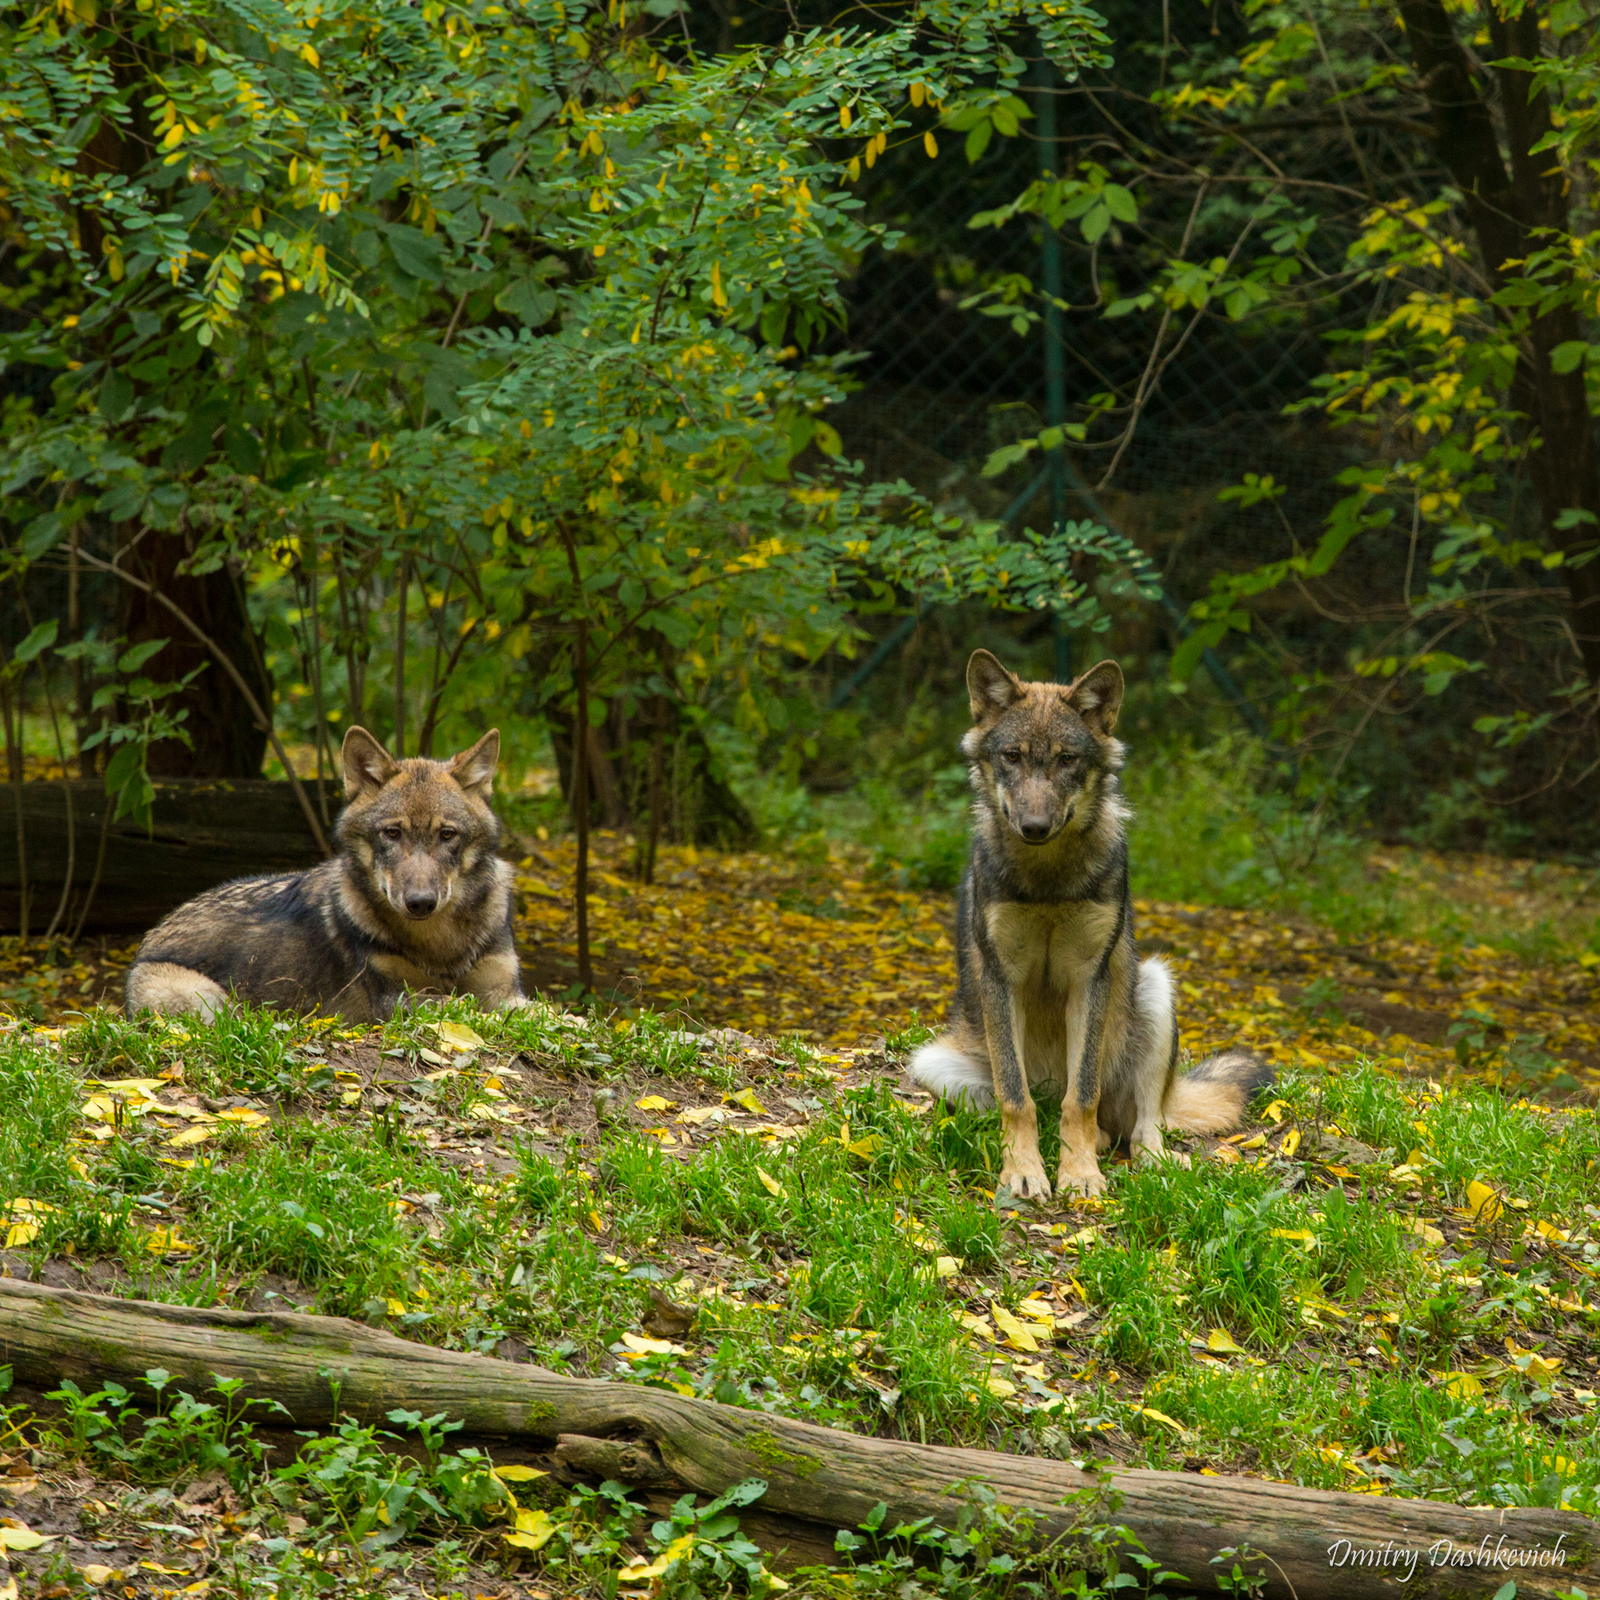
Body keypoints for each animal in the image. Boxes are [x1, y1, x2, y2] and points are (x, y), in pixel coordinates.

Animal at [126, 729, 524, 1024]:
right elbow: (465, 1008)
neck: (439, 946)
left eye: (447, 834)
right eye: (392, 833)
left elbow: (531, 1012)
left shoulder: (507, 992)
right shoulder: (394, 1001)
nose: (421, 903)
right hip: (211, 1002)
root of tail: (150, 936)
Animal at [908, 652, 1267, 1203]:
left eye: (1066, 760)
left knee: (1141, 1127)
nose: (1034, 827)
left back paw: (1149, 1159)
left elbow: (1081, 1097)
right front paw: (1024, 1173)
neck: (1049, 881)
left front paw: (1078, 1174)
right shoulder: (1000, 978)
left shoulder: (1089, 977)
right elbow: (1016, 1099)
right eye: (1012, 757)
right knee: (1036, 1104)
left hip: (1154, 985)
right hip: (935, 1066)